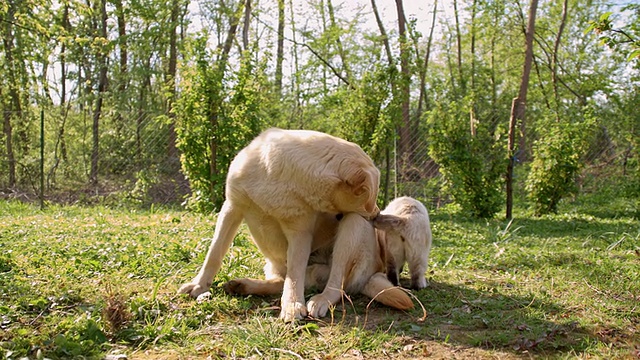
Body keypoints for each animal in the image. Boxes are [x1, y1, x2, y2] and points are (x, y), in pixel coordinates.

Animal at [178, 129, 380, 320]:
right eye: (370, 198)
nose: (377, 215)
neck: (278, 176)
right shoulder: (232, 207)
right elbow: (214, 252)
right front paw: (199, 284)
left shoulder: (299, 231)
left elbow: (295, 274)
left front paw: (292, 305)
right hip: (274, 265)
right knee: (282, 281)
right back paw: (243, 286)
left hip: (354, 225)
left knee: (335, 283)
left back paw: (321, 299)